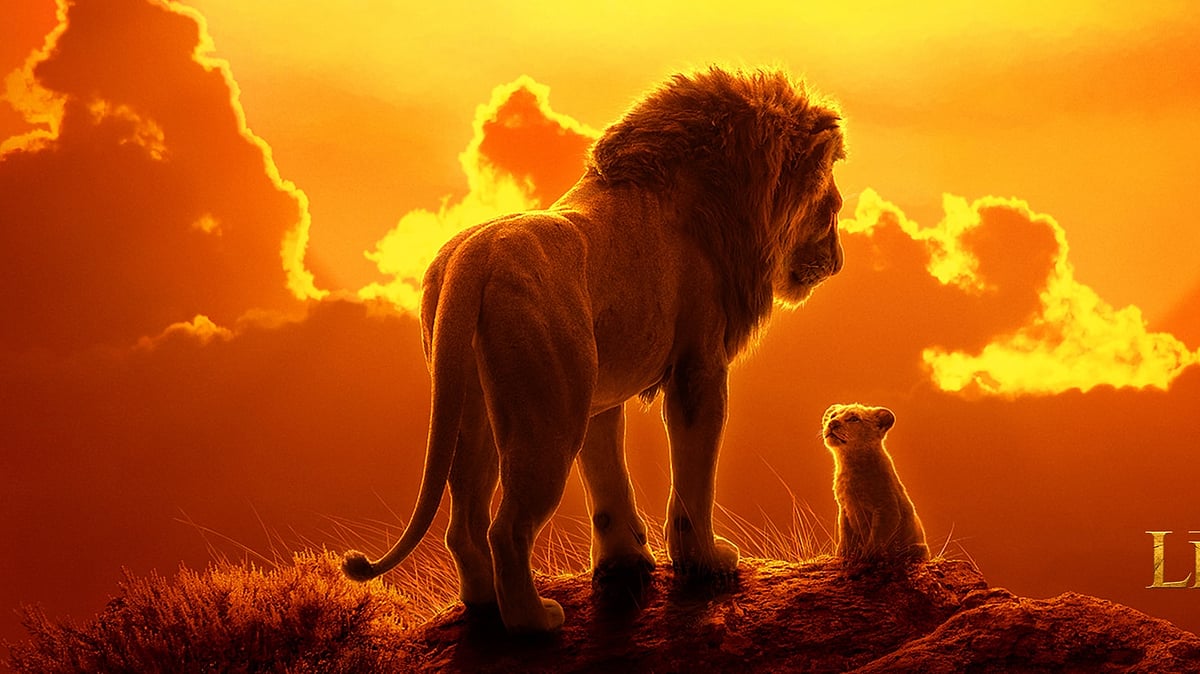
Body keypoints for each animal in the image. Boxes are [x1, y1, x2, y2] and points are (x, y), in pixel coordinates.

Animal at [343, 67, 847, 633]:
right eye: (832, 209)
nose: (839, 261)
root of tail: (472, 260)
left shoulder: (599, 393)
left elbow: (607, 479)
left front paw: (624, 562)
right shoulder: (698, 368)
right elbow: (693, 478)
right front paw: (706, 562)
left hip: (474, 410)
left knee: (466, 523)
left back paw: (484, 606)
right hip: (548, 418)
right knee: (507, 528)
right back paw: (534, 622)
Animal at [822, 404, 929, 563]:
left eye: (854, 418)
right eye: (833, 415)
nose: (832, 423)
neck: (849, 464)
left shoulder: (886, 508)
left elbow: (876, 538)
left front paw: (867, 558)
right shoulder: (844, 509)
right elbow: (845, 535)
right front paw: (843, 555)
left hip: (918, 548)